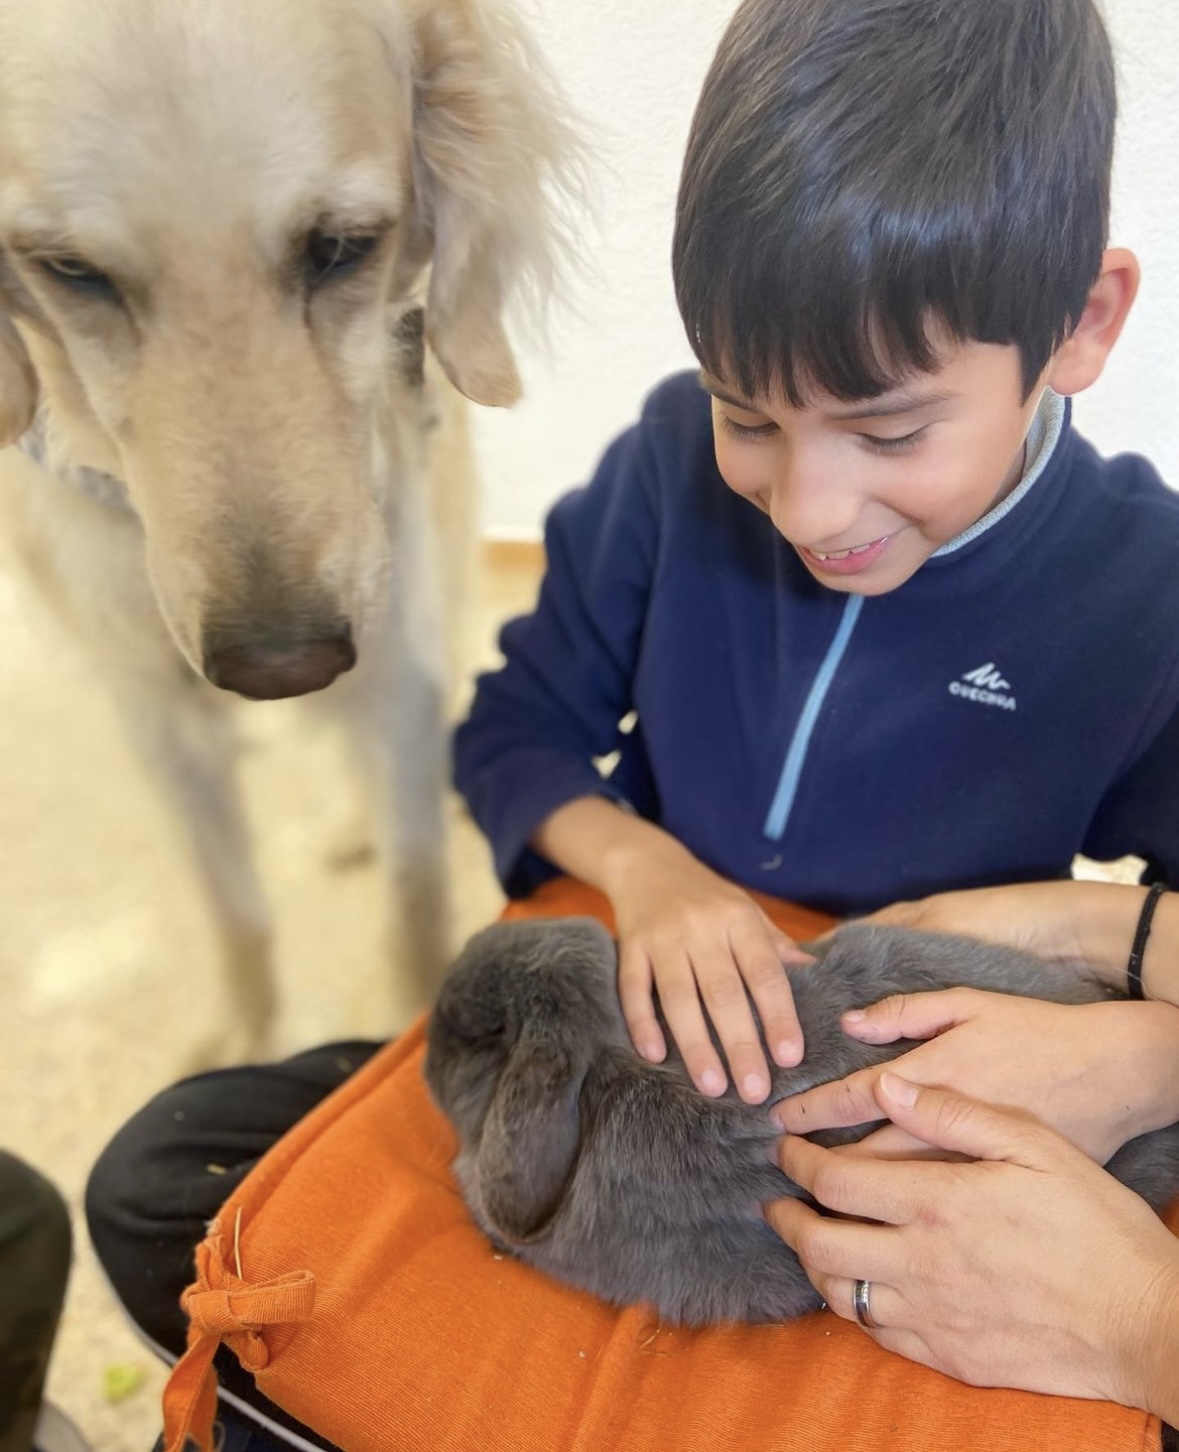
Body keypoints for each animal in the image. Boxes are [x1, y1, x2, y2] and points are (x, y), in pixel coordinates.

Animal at [0, 0, 574, 1055]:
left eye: (342, 245)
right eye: (69, 271)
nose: (282, 667)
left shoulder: (396, 650)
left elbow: (414, 885)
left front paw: (407, 1016)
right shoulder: (152, 715)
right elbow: (234, 907)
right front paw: (249, 1033)